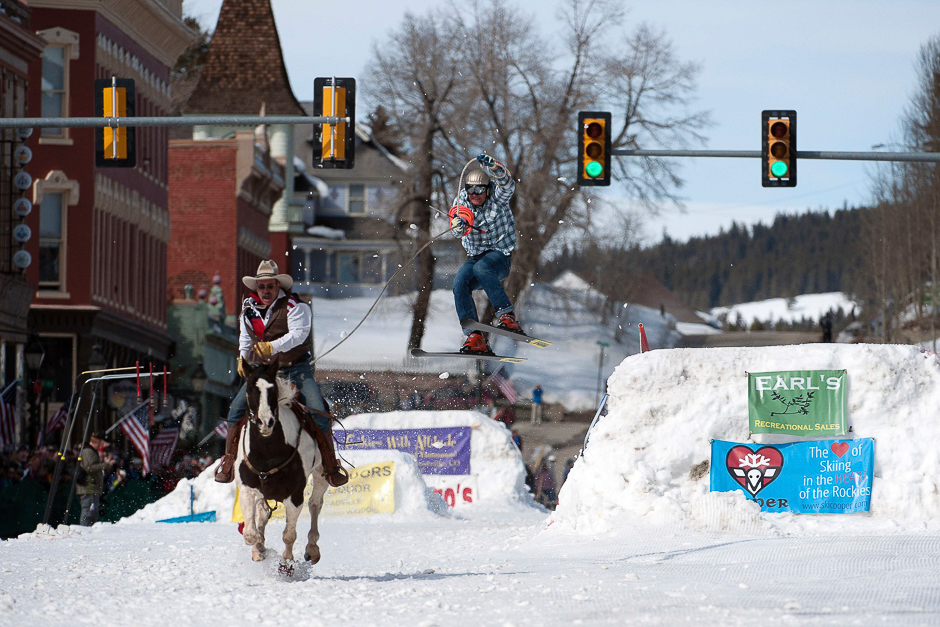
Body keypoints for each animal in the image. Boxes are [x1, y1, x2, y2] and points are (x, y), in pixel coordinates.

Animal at [234, 360, 330, 568]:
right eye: (250, 389)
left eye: (273, 390)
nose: (265, 422)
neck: (268, 452)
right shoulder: (247, 489)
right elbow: (250, 533)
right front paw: (259, 548)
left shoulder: (295, 495)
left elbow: (289, 535)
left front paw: (286, 563)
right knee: (262, 512)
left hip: (321, 473)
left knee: (315, 504)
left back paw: (312, 549)